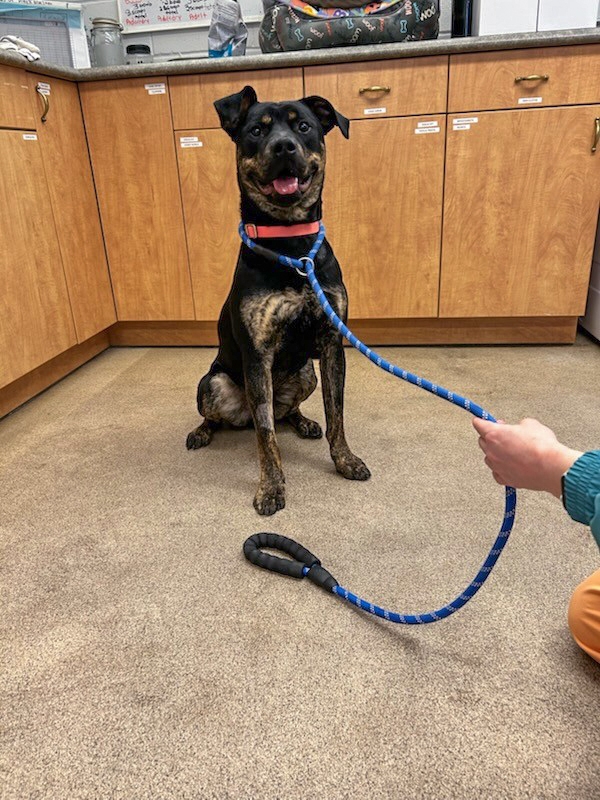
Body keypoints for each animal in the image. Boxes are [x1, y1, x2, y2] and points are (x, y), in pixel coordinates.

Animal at [186, 85, 370, 515]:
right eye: (256, 130)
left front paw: (344, 460)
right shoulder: (257, 355)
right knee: (234, 417)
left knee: (286, 412)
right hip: (214, 382)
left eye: (303, 126)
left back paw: (303, 422)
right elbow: (266, 435)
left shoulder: (331, 345)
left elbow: (336, 413)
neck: (292, 243)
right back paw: (202, 431)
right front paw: (271, 488)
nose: (284, 146)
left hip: (306, 373)